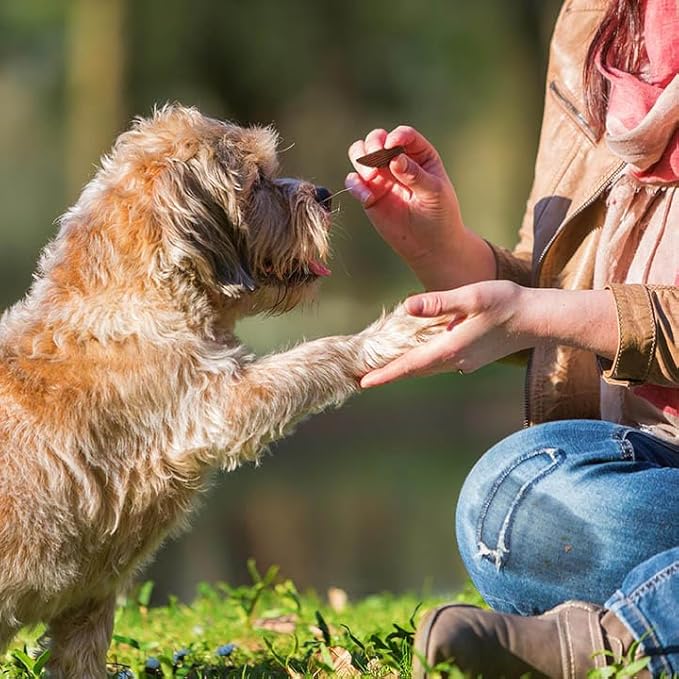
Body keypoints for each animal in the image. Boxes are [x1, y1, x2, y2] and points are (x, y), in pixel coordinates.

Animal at [0, 106, 446, 676]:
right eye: (257, 182)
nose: (324, 193)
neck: (136, 294)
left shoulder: (89, 603)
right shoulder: (217, 405)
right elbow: (318, 355)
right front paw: (387, 336)